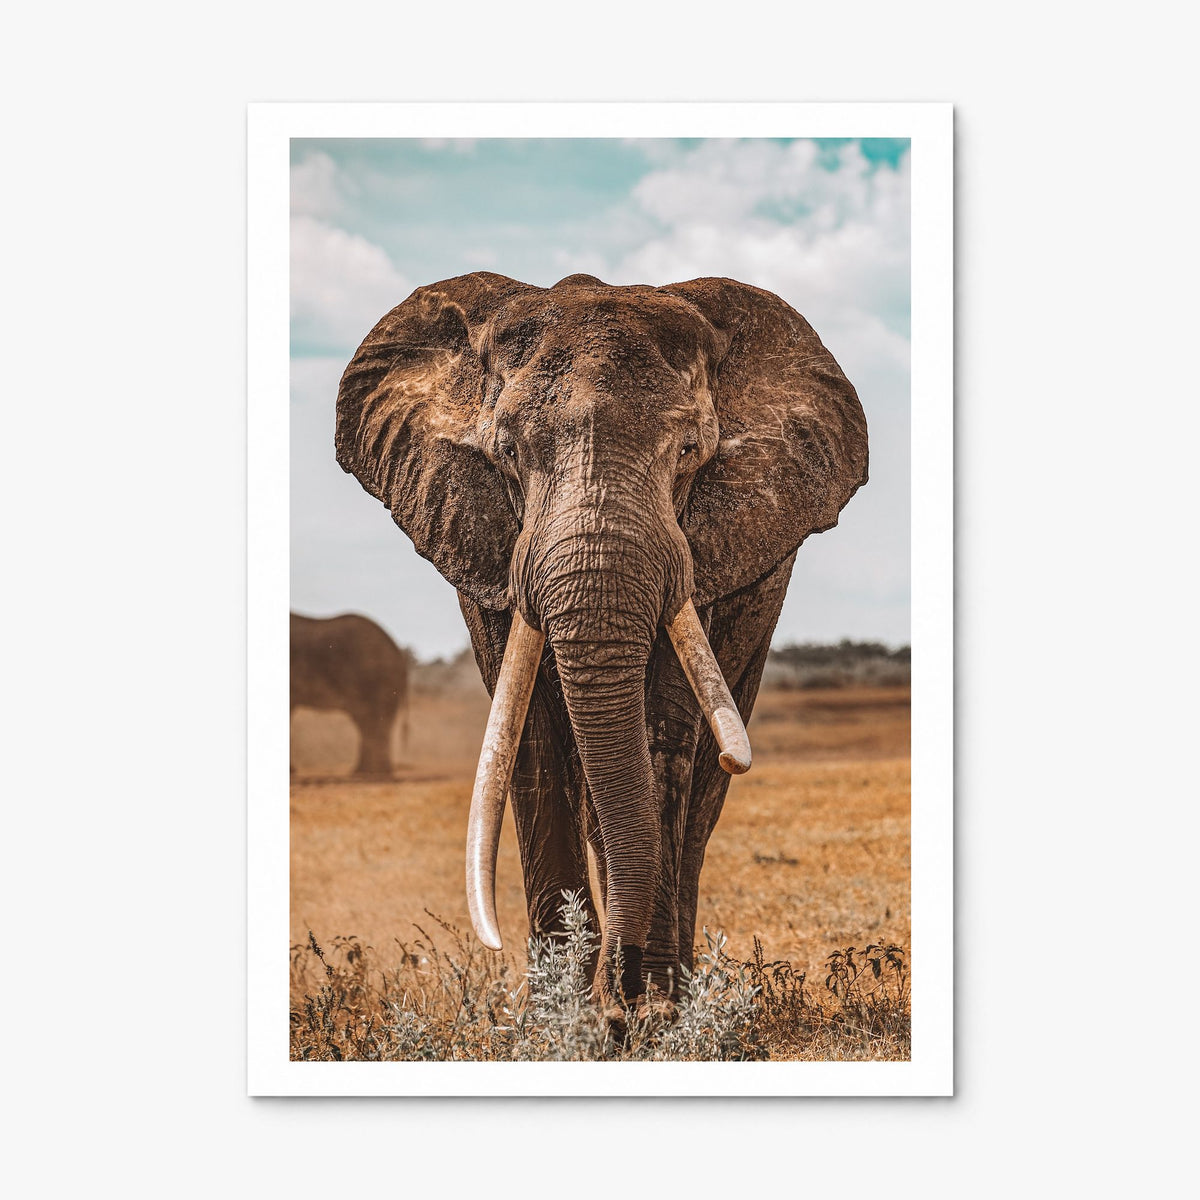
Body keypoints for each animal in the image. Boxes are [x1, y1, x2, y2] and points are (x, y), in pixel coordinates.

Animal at [335, 271, 867, 1008]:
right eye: (507, 453)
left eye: (689, 453)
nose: (620, 993)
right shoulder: (485, 543)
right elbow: (529, 737)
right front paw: (560, 1015)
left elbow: (663, 736)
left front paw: (647, 1012)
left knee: (698, 796)